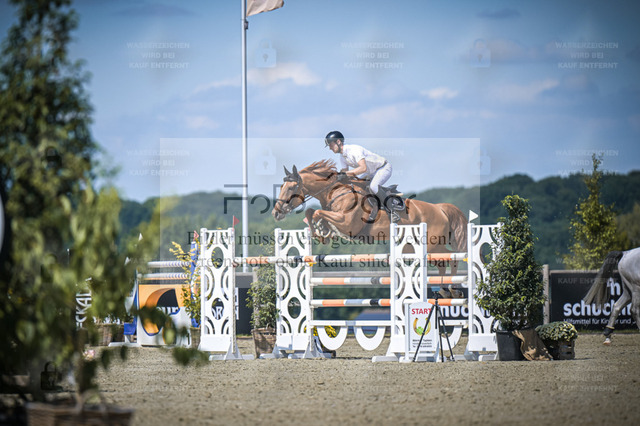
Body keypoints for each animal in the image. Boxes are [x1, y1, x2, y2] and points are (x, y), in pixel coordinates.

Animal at [271, 160, 468, 275]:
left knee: (451, 258)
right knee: (443, 262)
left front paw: (321, 231)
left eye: (291, 188)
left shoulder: (347, 223)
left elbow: (318, 213)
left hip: (433, 244)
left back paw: (451, 289)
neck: (336, 191)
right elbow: (310, 212)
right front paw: (322, 233)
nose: (276, 213)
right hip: (413, 246)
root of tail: (440, 209)